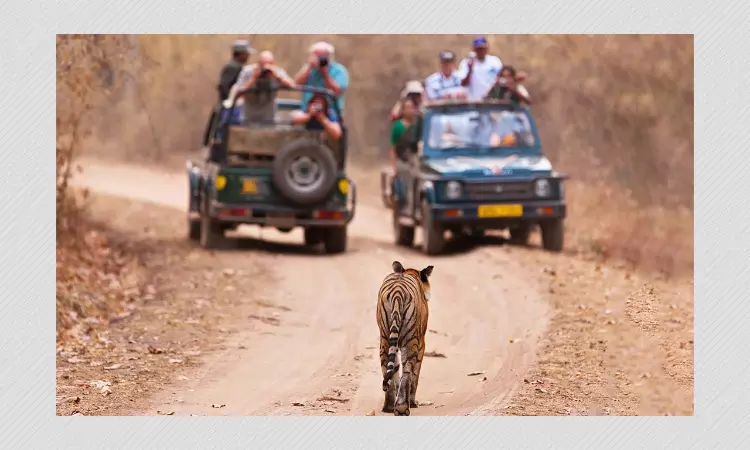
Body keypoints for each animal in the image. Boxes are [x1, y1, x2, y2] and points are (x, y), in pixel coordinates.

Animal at [376, 260, 434, 416]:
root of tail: (397, 292)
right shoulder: (421, 343)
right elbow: (415, 374)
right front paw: (413, 402)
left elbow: (395, 369)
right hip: (410, 339)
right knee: (407, 369)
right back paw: (403, 407)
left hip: (385, 337)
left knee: (386, 366)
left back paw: (389, 406)